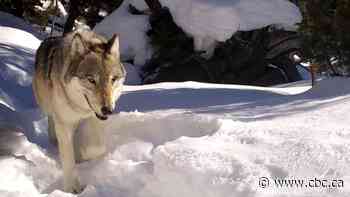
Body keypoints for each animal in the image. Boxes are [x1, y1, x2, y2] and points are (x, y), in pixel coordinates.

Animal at [32, 30, 126, 193]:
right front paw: (72, 188)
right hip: (46, 104)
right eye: (91, 80)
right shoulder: (64, 124)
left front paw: (81, 155)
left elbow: (95, 148)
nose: (108, 110)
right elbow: (69, 159)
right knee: (51, 119)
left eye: (113, 79)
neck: (81, 109)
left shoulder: (95, 119)